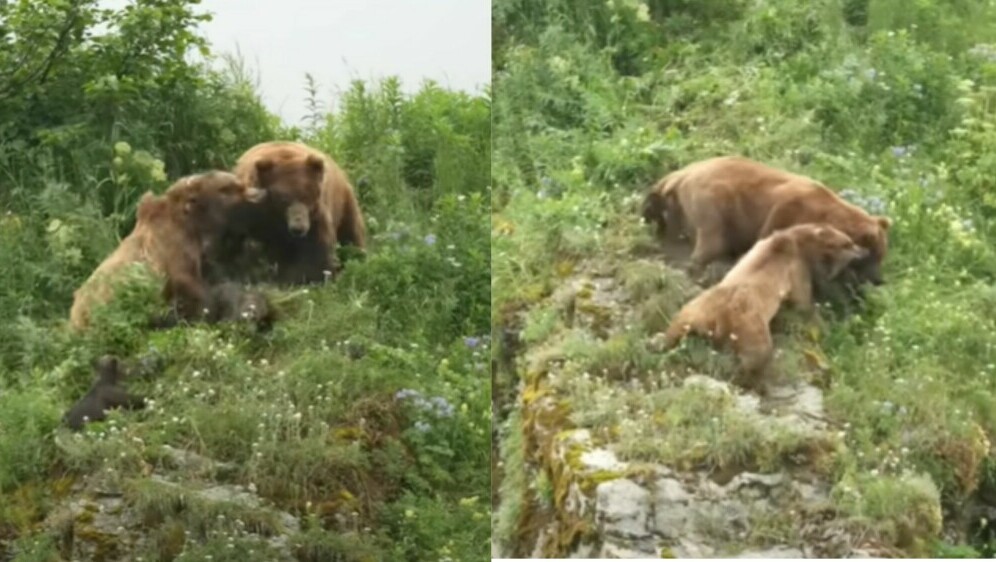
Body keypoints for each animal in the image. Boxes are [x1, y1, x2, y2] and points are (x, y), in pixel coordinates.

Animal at [213, 140, 366, 284]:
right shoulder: (250, 212)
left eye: (307, 196)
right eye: (284, 199)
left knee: (351, 234)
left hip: (344, 202)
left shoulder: (315, 217)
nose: (299, 227)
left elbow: (316, 252)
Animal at [644, 153, 896, 284]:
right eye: (874, 256)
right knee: (712, 241)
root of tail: (680, 175)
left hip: (677, 207)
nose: (879, 280)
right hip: (714, 204)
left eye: (882, 255)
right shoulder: (787, 211)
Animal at [660, 221, 872, 392]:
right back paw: (751, 380)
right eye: (848, 243)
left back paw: (662, 342)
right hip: (750, 326)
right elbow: (802, 300)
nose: (863, 251)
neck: (798, 241)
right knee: (758, 354)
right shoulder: (795, 268)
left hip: (695, 310)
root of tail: (720, 320)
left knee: (677, 325)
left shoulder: (761, 246)